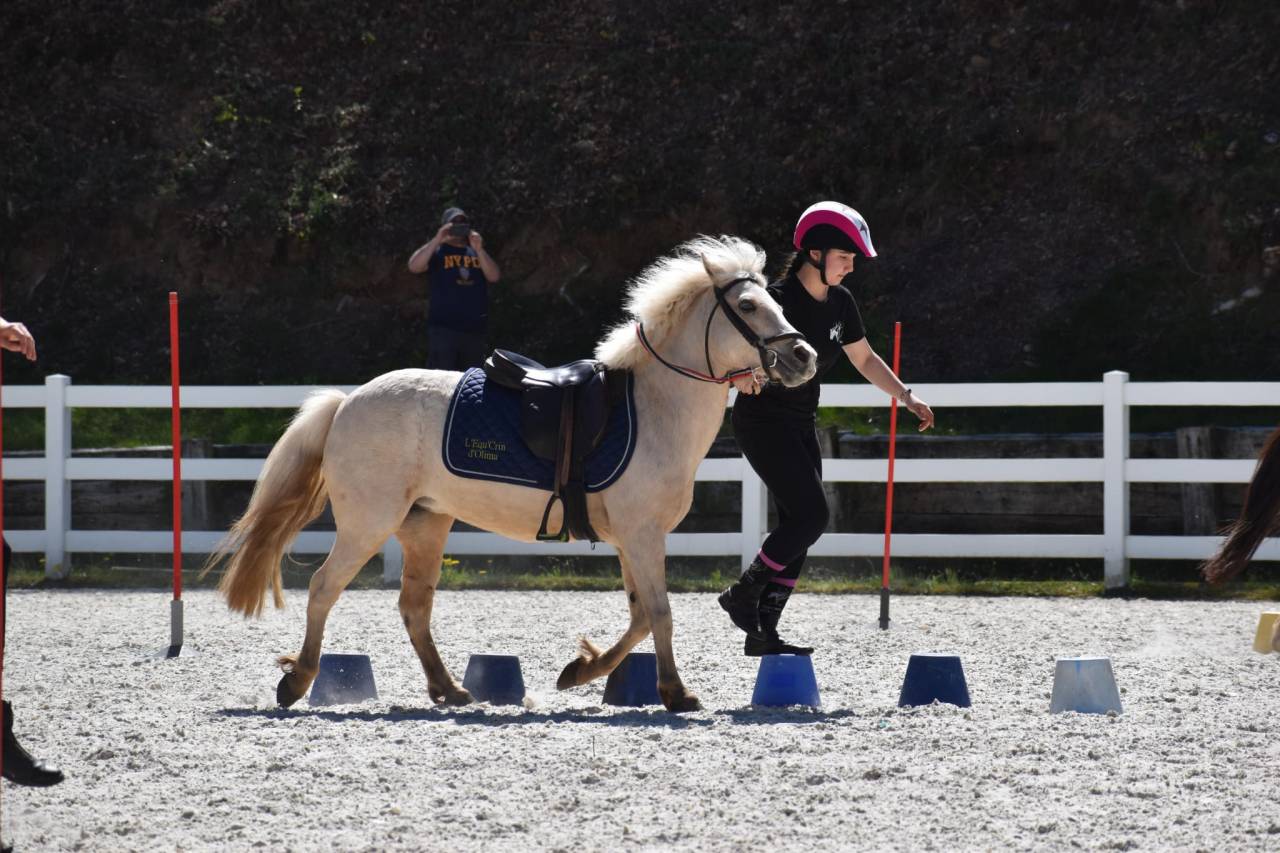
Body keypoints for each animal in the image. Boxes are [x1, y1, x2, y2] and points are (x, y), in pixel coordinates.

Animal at [207, 235, 818, 712]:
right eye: (749, 304)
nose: (804, 358)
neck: (653, 407)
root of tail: (348, 401)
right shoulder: (643, 537)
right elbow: (661, 615)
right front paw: (675, 693)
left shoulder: (632, 540)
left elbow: (642, 617)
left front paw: (583, 671)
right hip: (368, 523)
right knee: (324, 588)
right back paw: (299, 680)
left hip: (424, 524)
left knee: (414, 606)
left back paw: (450, 689)